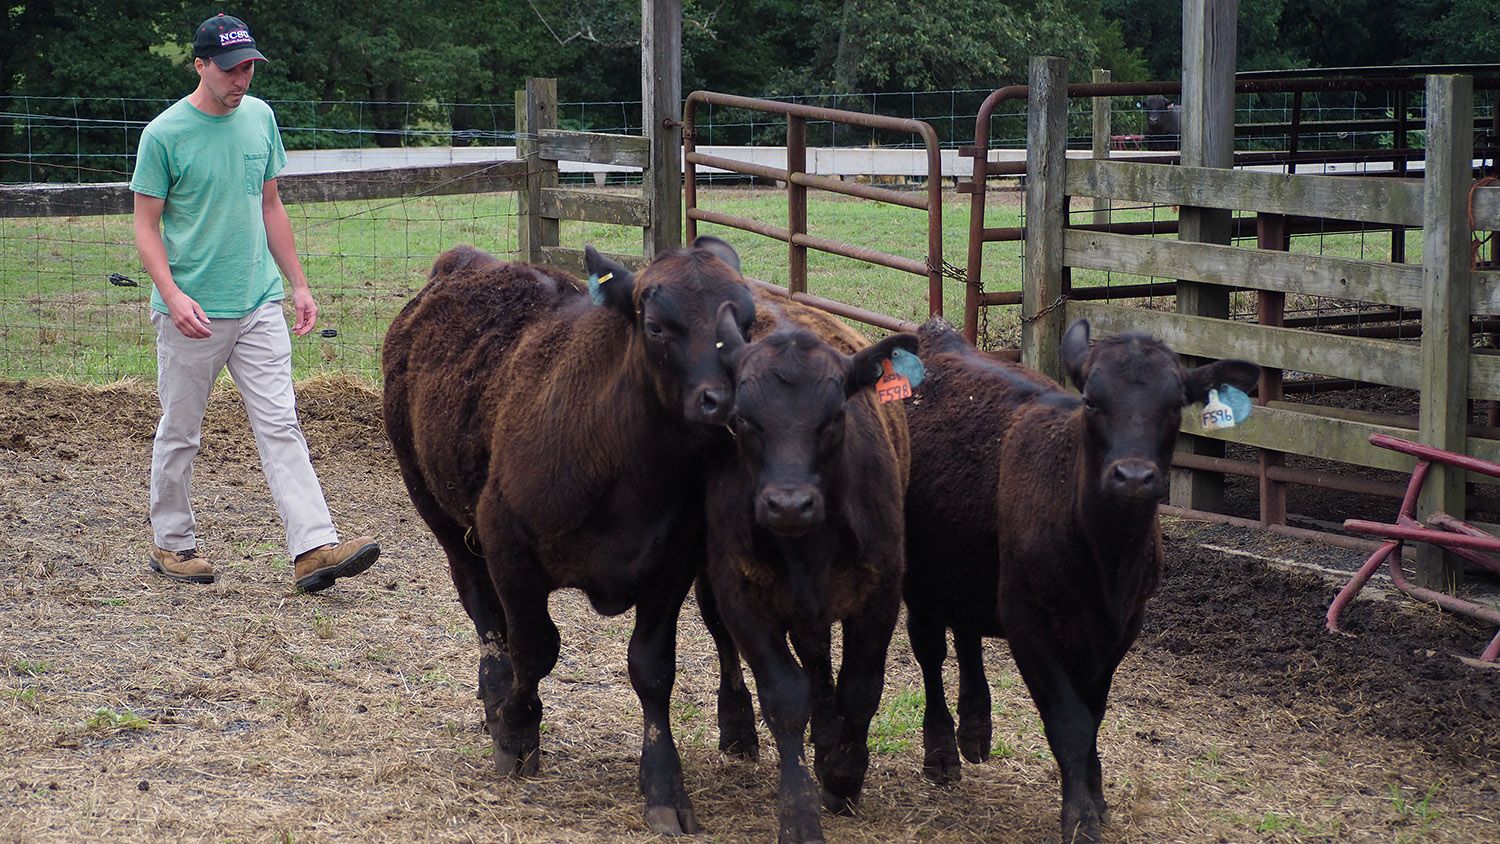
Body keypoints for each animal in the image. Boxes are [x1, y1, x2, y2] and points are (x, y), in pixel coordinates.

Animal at [381, 238, 756, 839]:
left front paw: (663, 785)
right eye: (656, 325)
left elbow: (653, 670)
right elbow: (535, 647)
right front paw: (515, 728)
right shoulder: (508, 545)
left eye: (746, 321)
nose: (722, 401)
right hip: (437, 508)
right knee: (482, 608)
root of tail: (464, 262)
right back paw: (494, 688)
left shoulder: (672, 565)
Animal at [900, 319, 1266, 844]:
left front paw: (1097, 796)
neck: (1105, 560)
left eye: (1176, 404)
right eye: (1091, 400)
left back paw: (975, 727)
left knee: (966, 631)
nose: (1133, 477)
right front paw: (1079, 817)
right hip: (919, 574)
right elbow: (1070, 723)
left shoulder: (1122, 627)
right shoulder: (1029, 624)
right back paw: (943, 751)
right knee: (930, 651)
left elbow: (1094, 717)